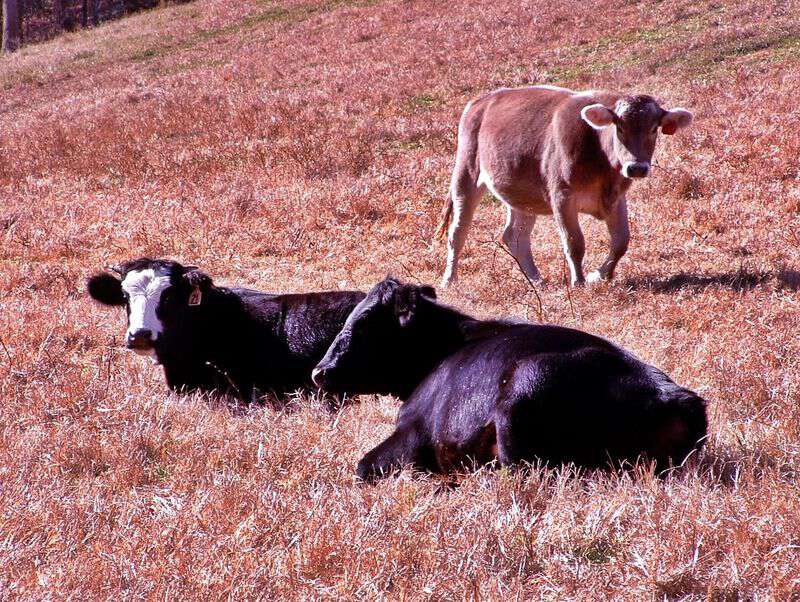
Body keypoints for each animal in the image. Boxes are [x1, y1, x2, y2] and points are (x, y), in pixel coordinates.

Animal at [310, 276, 708, 478]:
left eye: (364, 322)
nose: (319, 372)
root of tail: (676, 397)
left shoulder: (413, 433)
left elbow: (363, 466)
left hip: (526, 387)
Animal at [438, 84, 692, 286]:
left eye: (654, 128)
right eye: (619, 127)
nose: (637, 167)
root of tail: (481, 101)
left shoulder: (617, 198)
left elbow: (621, 241)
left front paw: (599, 275)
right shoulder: (562, 196)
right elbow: (574, 242)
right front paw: (579, 281)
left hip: (522, 194)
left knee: (514, 236)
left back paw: (536, 280)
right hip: (466, 174)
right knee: (457, 232)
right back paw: (450, 279)